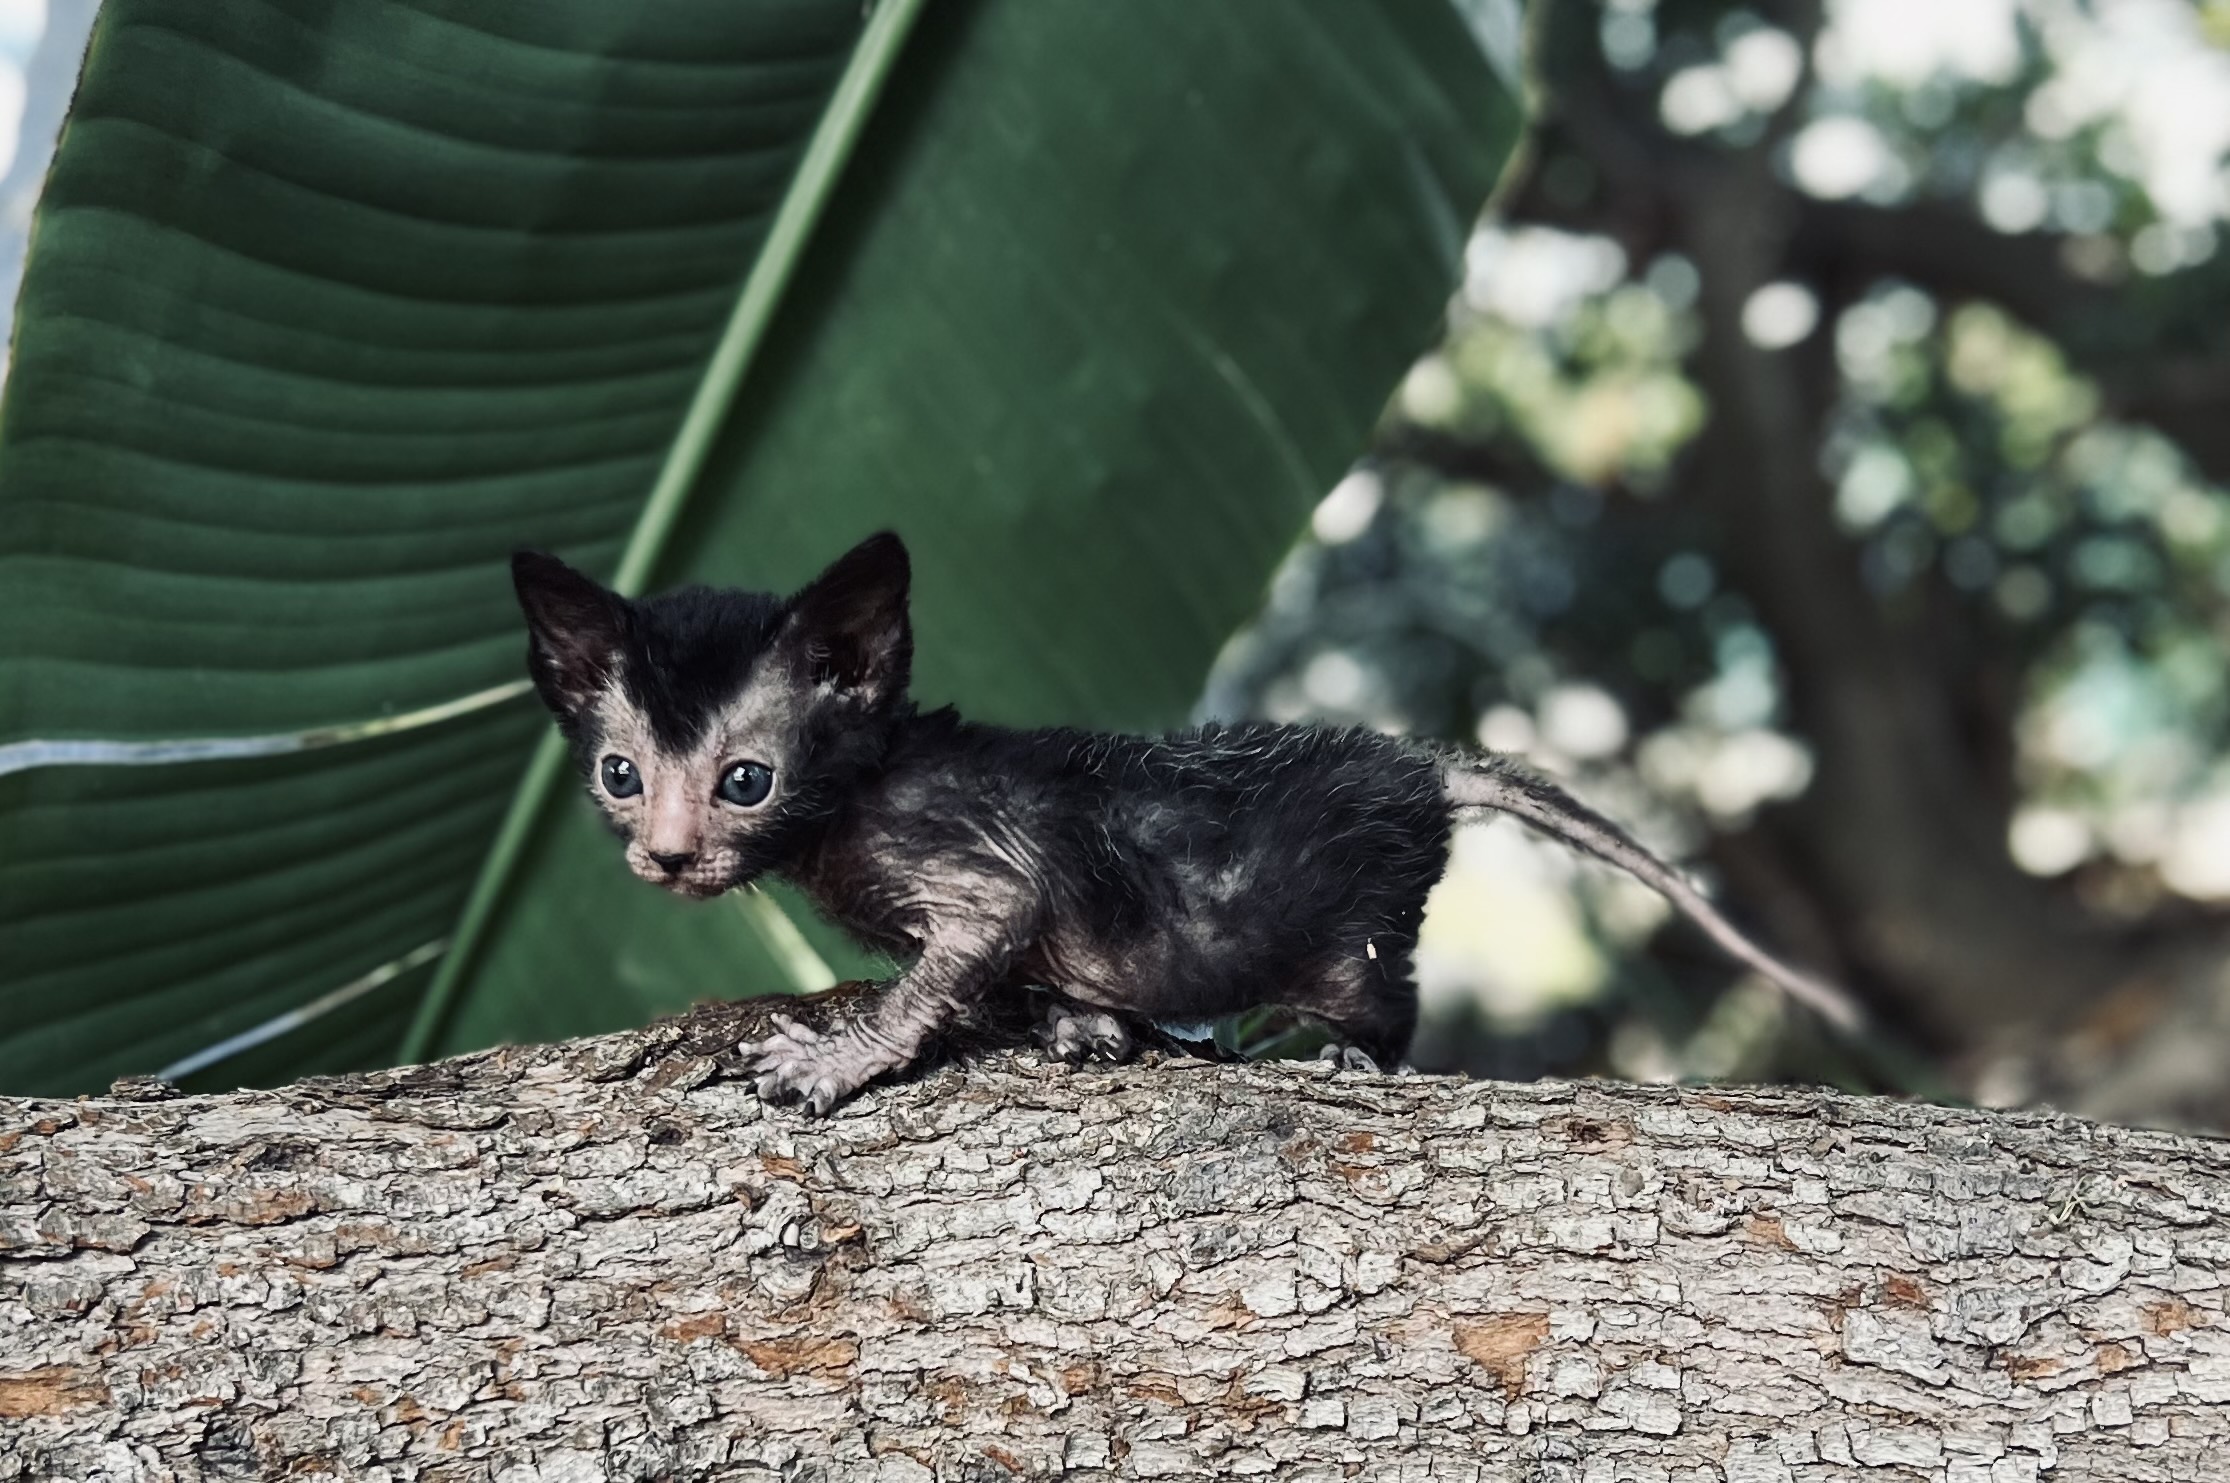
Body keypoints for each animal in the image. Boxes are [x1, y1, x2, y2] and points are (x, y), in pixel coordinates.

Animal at [512, 532, 1855, 1110]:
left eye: (746, 781)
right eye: (620, 773)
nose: (665, 855)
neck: (859, 801)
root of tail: (1418, 765)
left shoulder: (987, 876)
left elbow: (943, 972)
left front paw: (832, 1059)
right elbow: (1013, 984)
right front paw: (1081, 1026)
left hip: (1351, 932)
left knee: (1389, 1000)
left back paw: (1341, 1056)